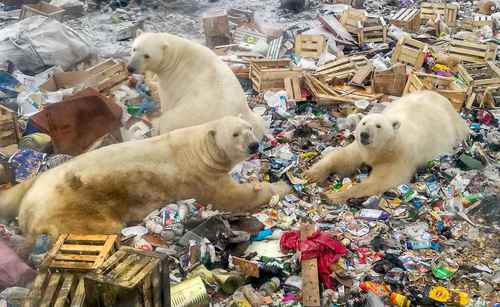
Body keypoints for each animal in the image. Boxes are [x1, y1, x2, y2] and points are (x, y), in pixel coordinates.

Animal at [0, 116, 290, 244]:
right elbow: (233, 196)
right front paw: (281, 187)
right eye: (235, 134)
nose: (254, 145)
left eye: (249, 128)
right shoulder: (201, 176)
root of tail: (28, 210)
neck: (199, 149)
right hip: (71, 205)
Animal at [127, 31, 266, 138]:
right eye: (134, 48)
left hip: (185, 118)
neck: (176, 55)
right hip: (251, 116)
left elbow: (167, 101)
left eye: (147, 55)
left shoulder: (173, 79)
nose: (131, 68)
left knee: (168, 121)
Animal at [304, 91, 468, 202]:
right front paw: (311, 174)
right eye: (364, 123)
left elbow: (381, 180)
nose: (364, 134)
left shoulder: (398, 157)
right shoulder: (361, 149)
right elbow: (342, 158)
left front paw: (333, 196)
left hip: (455, 128)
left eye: (378, 126)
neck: (383, 149)